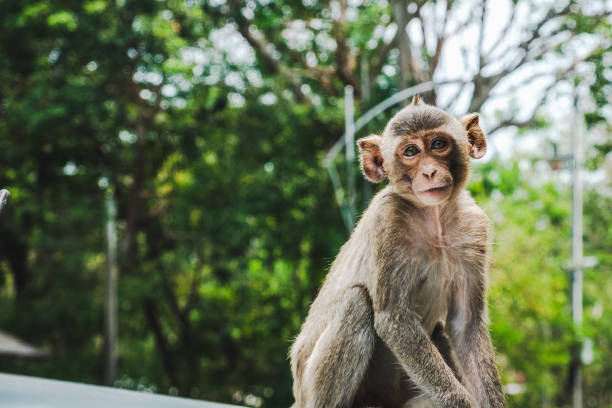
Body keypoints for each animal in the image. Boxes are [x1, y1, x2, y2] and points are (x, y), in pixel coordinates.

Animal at [290, 96, 504, 408]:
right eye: (411, 151)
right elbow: (394, 319)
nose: (429, 171)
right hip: (309, 386)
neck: (434, 219)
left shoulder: (473, 228)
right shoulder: (386, 220)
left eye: (438, 144)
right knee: (356, 302)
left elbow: (466, 326)